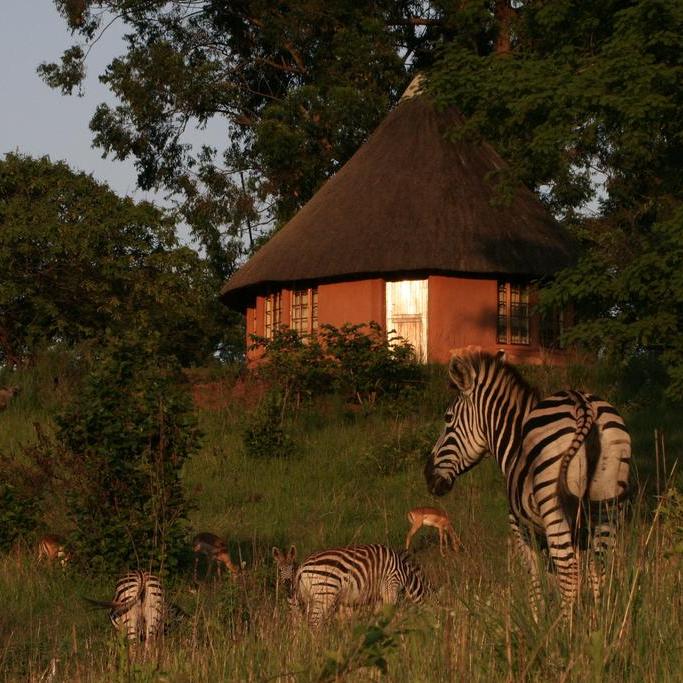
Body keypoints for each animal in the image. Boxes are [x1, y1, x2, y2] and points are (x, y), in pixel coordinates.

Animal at [424, 350, 632, 616]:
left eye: (447, 419)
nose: (427, 475)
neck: (514, 445)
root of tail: (583, 405)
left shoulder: (521, 528)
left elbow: (535, 581)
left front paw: (537, 618)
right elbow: (557, 579)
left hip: (553, 507)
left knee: (570, 572)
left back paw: (563, 626)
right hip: (607, 504)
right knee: (601, 568)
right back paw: (599, 621)